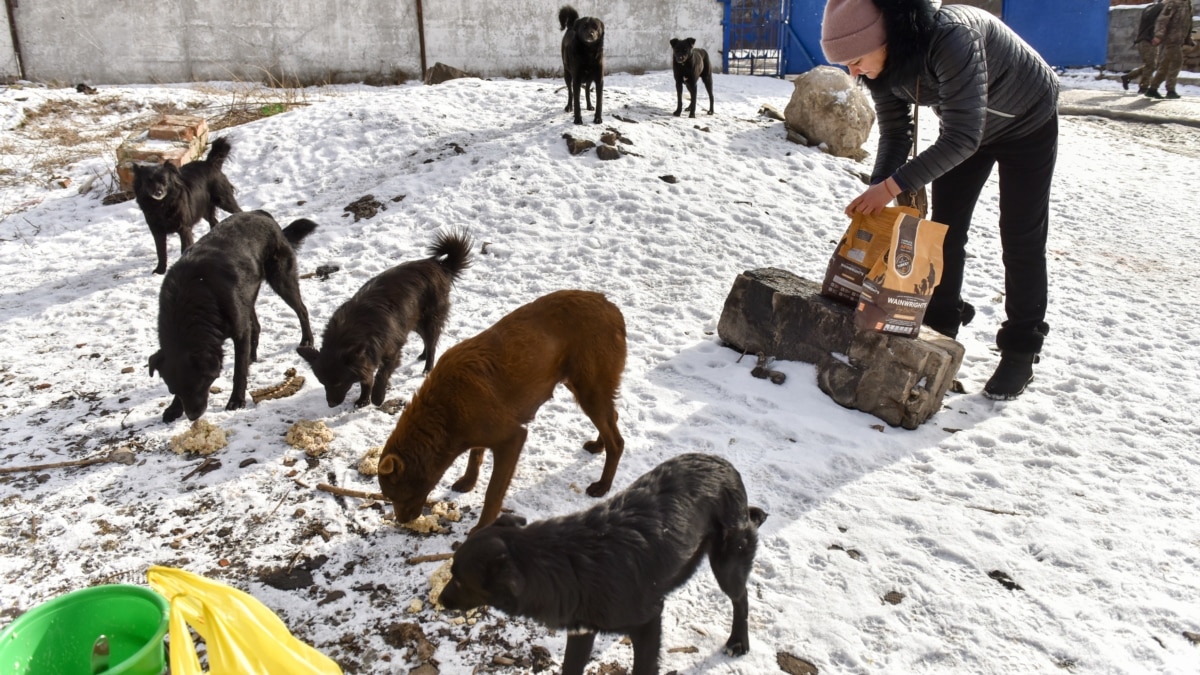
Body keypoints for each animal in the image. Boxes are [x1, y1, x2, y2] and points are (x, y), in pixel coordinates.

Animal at [133, 133, 241, 273]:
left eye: (164, 180)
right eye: (148, 181)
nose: (158, 192)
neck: (161, 205)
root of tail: (210, 163)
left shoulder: (184, 228)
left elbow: (184, 248)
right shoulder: (157, 231)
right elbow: (160, 251)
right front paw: (160, 271)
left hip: (224, 200)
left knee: (238, 211)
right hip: (203, 210)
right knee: (214, 222)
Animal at [148, 210, 319, 420]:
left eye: (200, 385)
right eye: (174, 390)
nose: (193, 417)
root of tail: (260, 213)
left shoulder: (239, 331)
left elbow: (238, 372)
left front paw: (236, 400)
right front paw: (174, 407)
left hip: (281, 279)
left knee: (301, 310)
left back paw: (307, 340)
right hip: (248, 294)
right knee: (256, 326)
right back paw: (252, 356)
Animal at [295, 228, 472, 408]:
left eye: (338, 383)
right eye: (323, 383)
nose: (331, 404)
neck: (349, 331)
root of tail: (439, 265)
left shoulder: (390, 350)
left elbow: (381, 374)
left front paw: (377, 397)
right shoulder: (368, 356)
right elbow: (366, 378)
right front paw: (363, 399)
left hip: (429, 320)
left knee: (432, 344)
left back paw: (427, 368)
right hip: (414, 322)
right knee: (427, 342)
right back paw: (422, 355)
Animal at [376, 285, 628, 528]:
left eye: (395, 496)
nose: (402, 521)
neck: (445, 415)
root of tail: (612, 308)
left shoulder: (512, 438)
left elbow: (493, 493)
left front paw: (480, 528)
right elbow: (475, 455)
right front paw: (468, 481)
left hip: (590, 388)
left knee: (617, 441)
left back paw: (602, 485)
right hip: (581, 385)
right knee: (612, 417)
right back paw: (598, 445)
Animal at [441, 451, 768, 672]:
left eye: (459, 579)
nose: (441, 601)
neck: (563, 564)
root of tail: (726, 465)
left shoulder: (649, 623)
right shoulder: (582, 630)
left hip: (727, 563)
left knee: (741, 597)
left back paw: (739, 641)